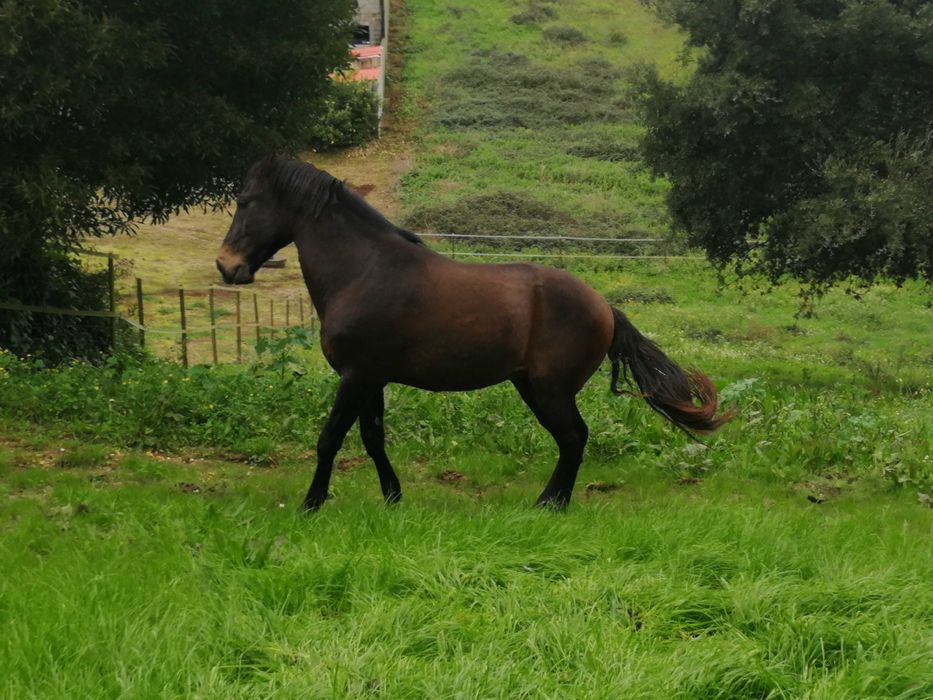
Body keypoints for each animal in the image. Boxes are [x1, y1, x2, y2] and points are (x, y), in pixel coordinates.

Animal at [216, 155, 732, 511]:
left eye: (245, 201)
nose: (226, 266)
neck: (365, 271)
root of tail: (604, 306)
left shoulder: (355, 376)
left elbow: (329, 438)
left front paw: (311, 504)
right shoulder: (372, 379)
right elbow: (373, 438)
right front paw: (392, 498)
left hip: (549, 390)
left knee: (573, 438)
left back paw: (550, 505)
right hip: (532, 387)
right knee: (573, 439)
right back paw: (551, 503)